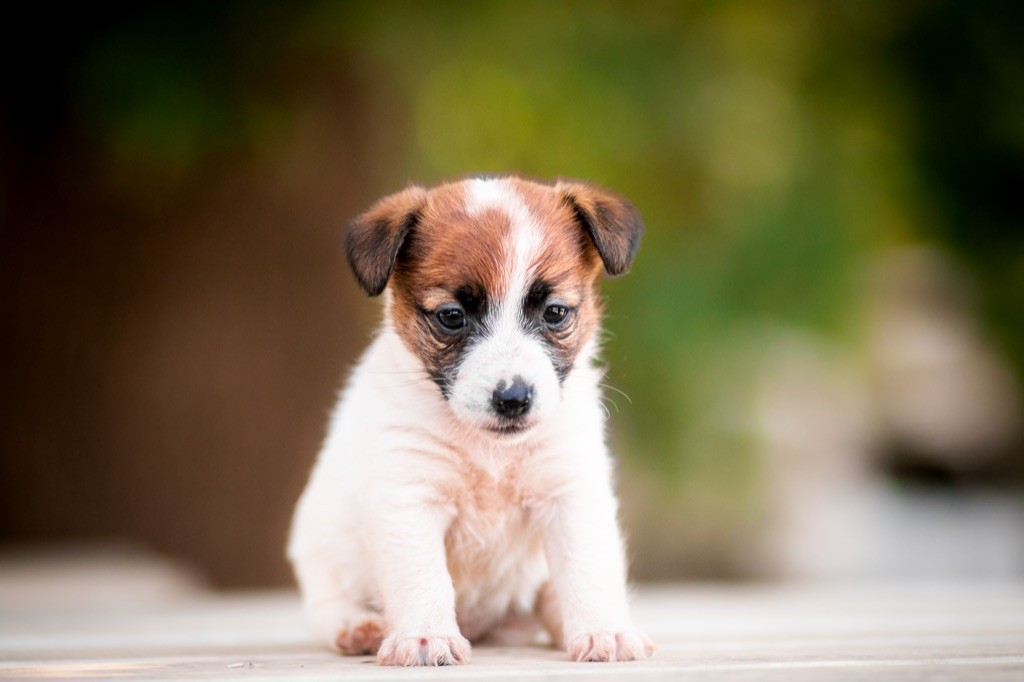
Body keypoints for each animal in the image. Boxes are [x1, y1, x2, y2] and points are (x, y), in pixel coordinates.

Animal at [288, 173, 651, 659]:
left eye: (555, 312)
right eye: (452, 316)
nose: (513, 397)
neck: (491, 453)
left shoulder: (569, 493)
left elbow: (586, 568)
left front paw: (604, 630)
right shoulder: (409, 498)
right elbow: (422, 576)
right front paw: (426, 635)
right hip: (322, 556)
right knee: (327, 608)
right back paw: (358, 625)